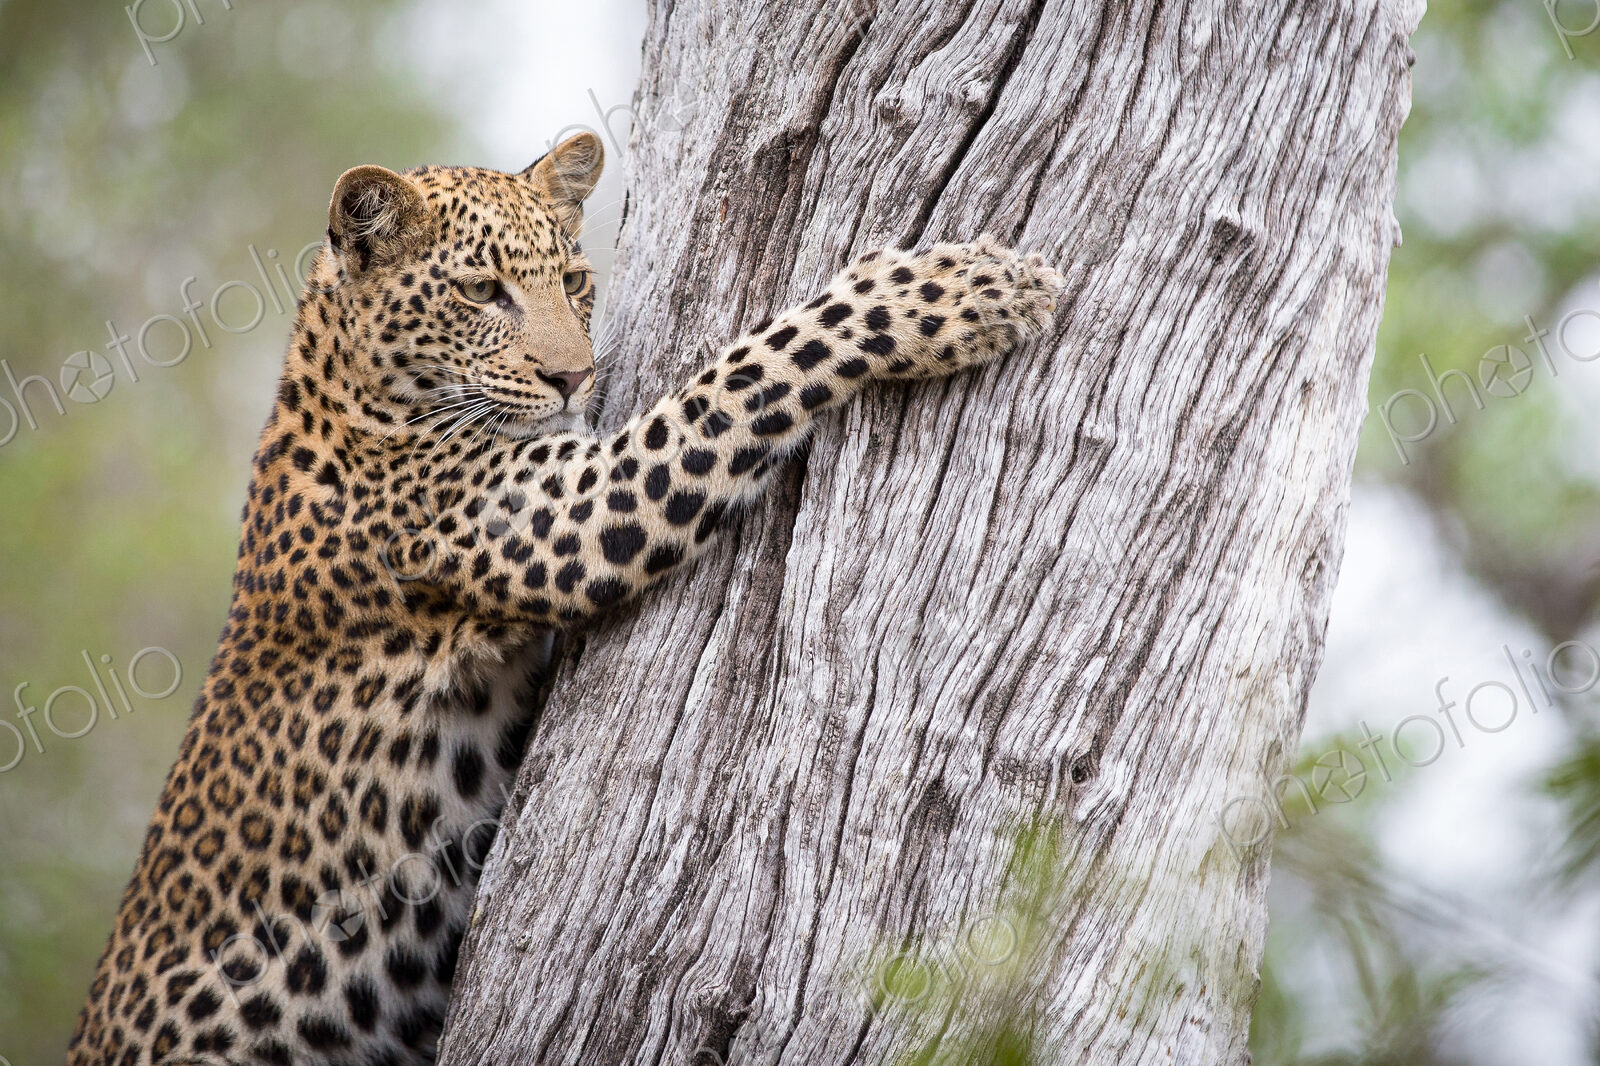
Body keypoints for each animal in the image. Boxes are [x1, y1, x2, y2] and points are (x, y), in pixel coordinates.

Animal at [67, 130, 1065, 1066]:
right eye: (481, 293)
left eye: (577, 280)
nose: (574, 376)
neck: (349, 386)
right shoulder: (581, 504)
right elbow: (748, 369)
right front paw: (956, 289)